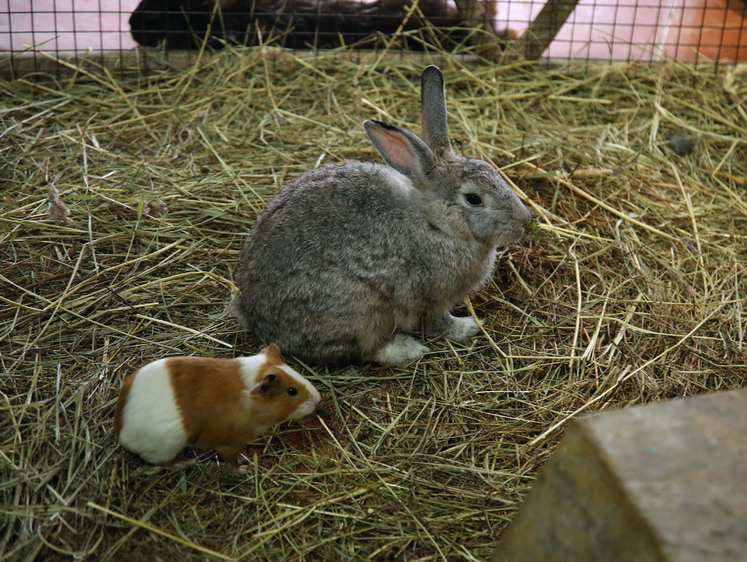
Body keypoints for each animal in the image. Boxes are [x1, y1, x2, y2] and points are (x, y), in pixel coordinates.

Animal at [234, 65, 532, 366]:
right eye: (473, 198)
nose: (523, 222)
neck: (434, 223)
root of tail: (253, 315)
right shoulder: (431, 299)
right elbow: (438, 323)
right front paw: (468, 326)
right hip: (358, 311)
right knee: (361, 350)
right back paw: (407, 349)